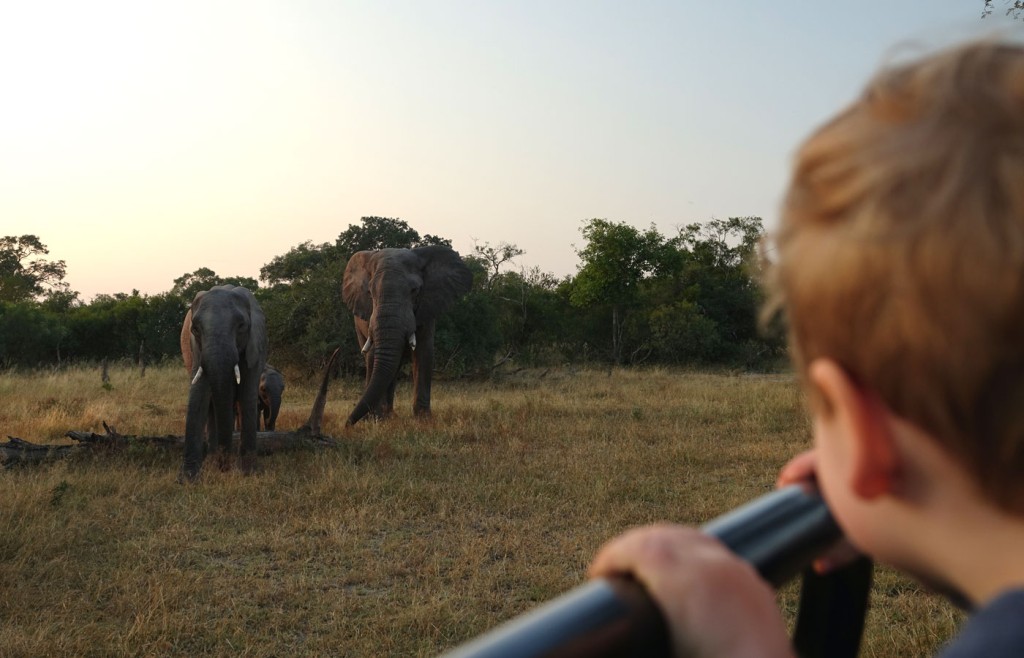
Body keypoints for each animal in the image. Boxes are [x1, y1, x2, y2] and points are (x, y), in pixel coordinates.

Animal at [179, 282, 268, 478]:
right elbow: (199, 395)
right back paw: (212, 462)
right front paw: (188, 478)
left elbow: (247, 394)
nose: (225, 466)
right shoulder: (196, 350)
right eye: (195, 329)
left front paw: (248, 473)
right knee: (212, 405)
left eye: (241, 326)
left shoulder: (255, 346)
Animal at [342, 244, 473, 425]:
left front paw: (424, 420)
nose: (347, 425)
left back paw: (389, 416)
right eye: (370, 292)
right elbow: (374, 355)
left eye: (414, 290)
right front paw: (374, 420)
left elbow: (424, 353)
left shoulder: (427, 307)